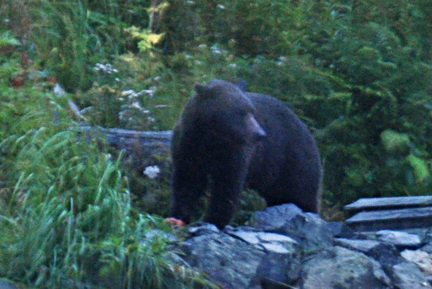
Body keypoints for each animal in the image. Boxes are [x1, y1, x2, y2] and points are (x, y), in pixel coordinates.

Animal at [167, 78, 322, 227]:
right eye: (241, 112)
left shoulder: (234, 152)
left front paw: (214, 219)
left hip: (294, 160)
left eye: (252, 111)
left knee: (301, 193)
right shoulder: (189, 145)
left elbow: (228, 184)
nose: (260, 134)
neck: (212, 139)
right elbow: (188, 179)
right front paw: (179, 215)